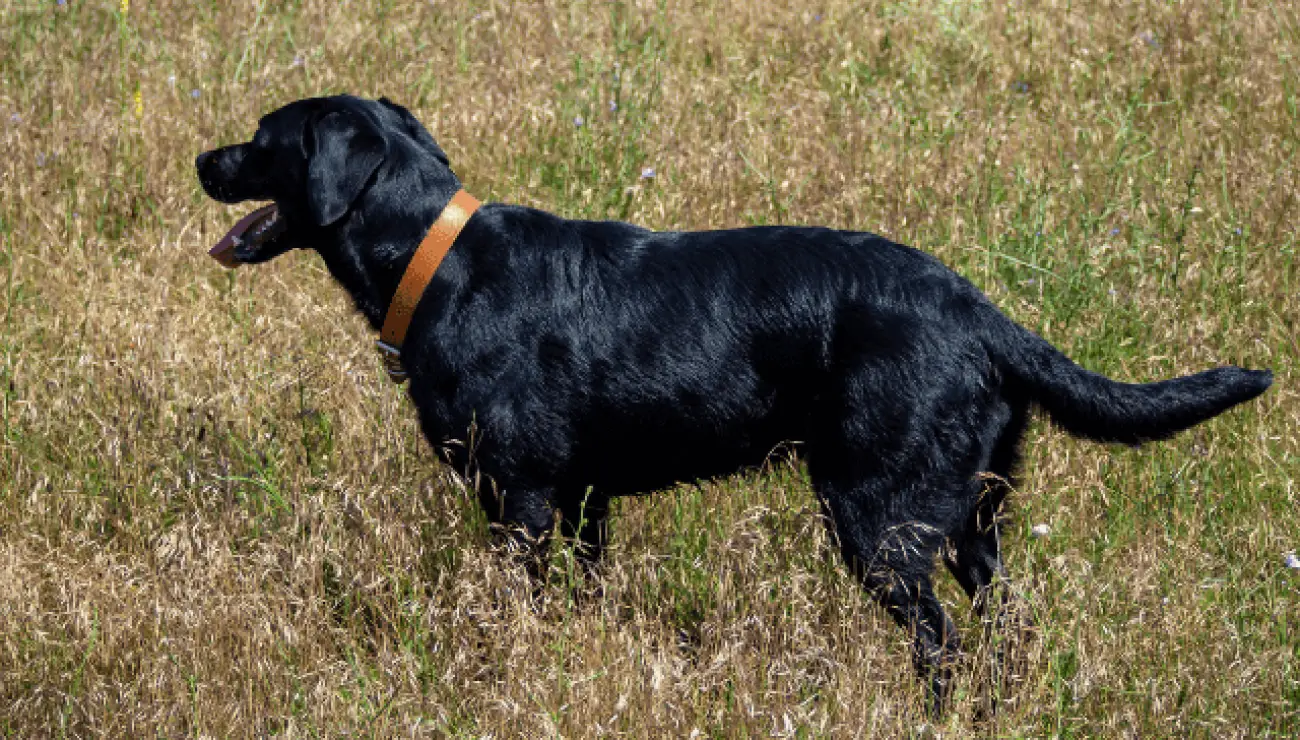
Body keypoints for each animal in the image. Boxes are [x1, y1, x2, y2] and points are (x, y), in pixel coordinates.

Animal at [195, 94, 1268, 712]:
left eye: (260, 141)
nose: (201, 159)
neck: (435, 259)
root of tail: (981, 311)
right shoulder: (585, 504)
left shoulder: (523, 500)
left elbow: (516, 614)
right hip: (974, 522)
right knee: (1002, 637)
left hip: (877, 519)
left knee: (942, 648)